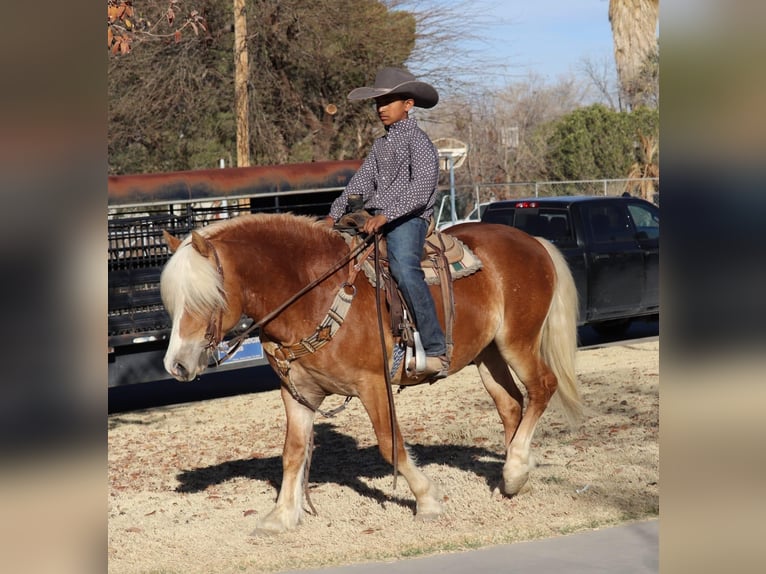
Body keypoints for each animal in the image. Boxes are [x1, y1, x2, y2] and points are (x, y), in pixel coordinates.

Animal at [162, 214, 584, 536]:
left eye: (208, 297)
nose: (176, 364)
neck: (313, 296)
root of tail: (533, 241)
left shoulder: (373, 384)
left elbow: (389, 444)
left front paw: (427, 500)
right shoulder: (296, 392)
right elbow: (292, 452)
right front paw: (281, 516)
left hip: (518, 342)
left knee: (542, 387)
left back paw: (514, 469)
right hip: (488, 354)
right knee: (511, 405)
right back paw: (514, 475)